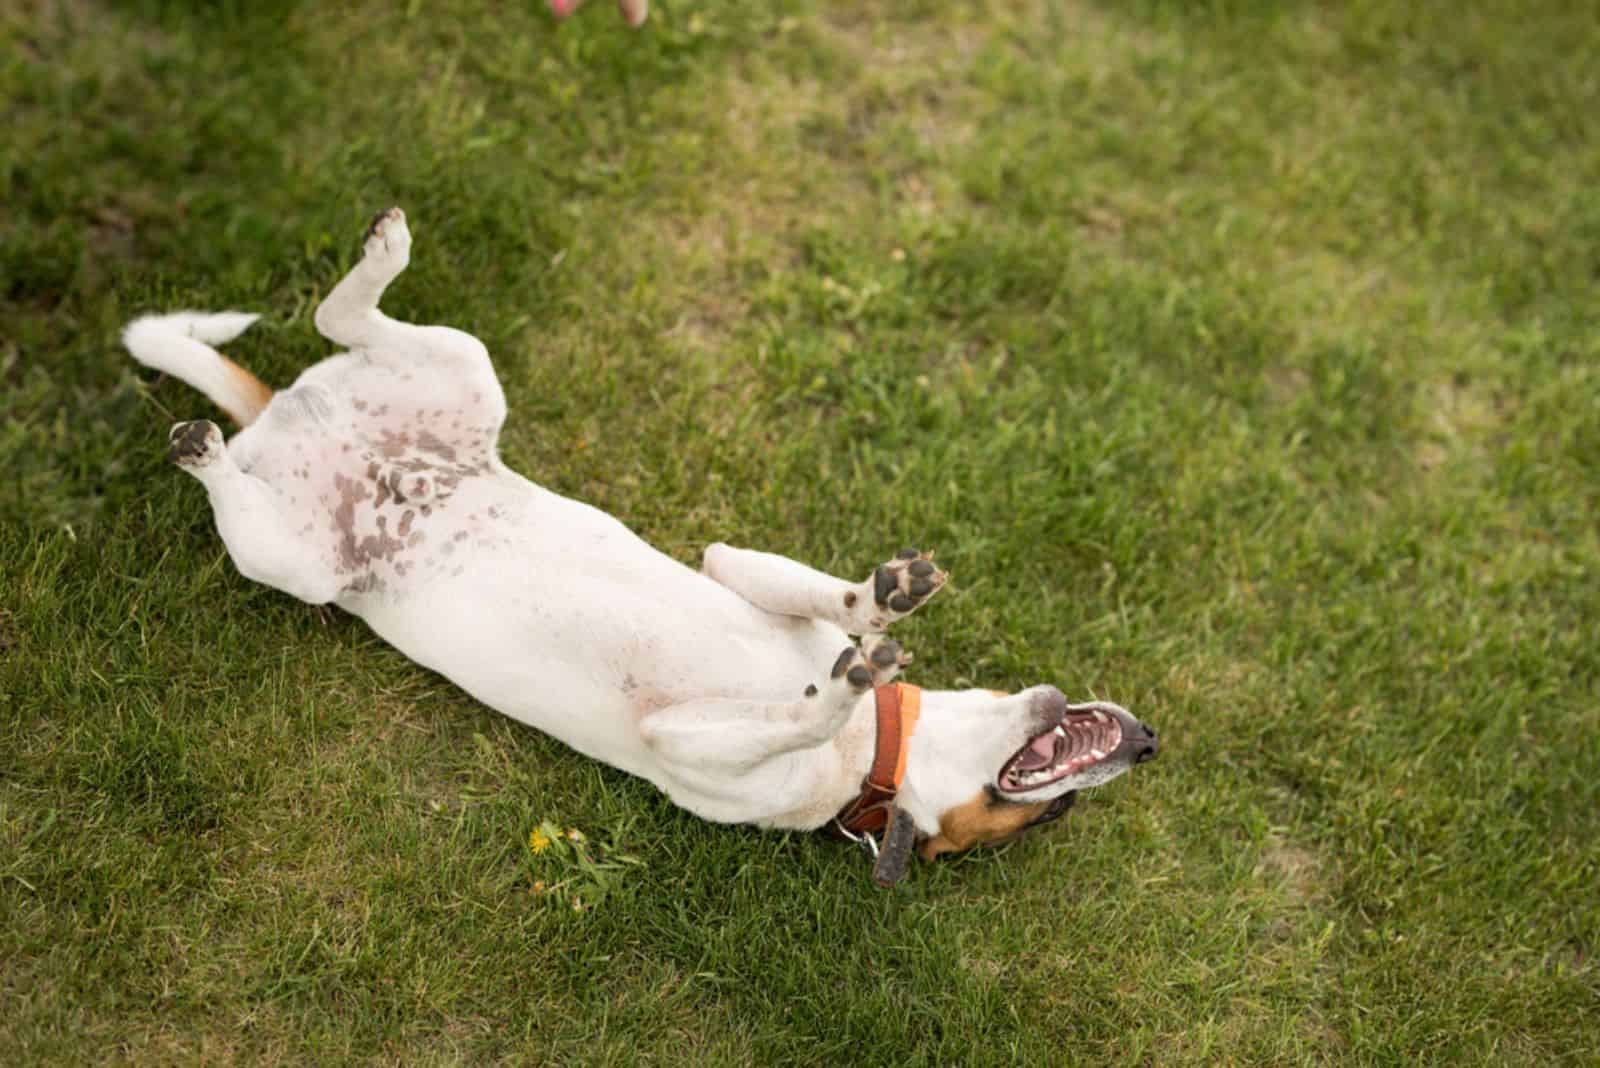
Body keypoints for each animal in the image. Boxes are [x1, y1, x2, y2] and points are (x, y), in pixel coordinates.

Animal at [121, 207, 1152, 882]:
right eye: (1053, 807)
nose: (1146, 742)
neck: (874, 753)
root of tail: (275, 422)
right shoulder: (734, 570)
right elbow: (822, 611)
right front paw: (882, 606)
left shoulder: (686, 743)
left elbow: (799, 709)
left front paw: (848, 676)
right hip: (452, 384)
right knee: (337, 323)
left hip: (306, 551)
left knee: (277, 431)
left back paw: (208, 442)